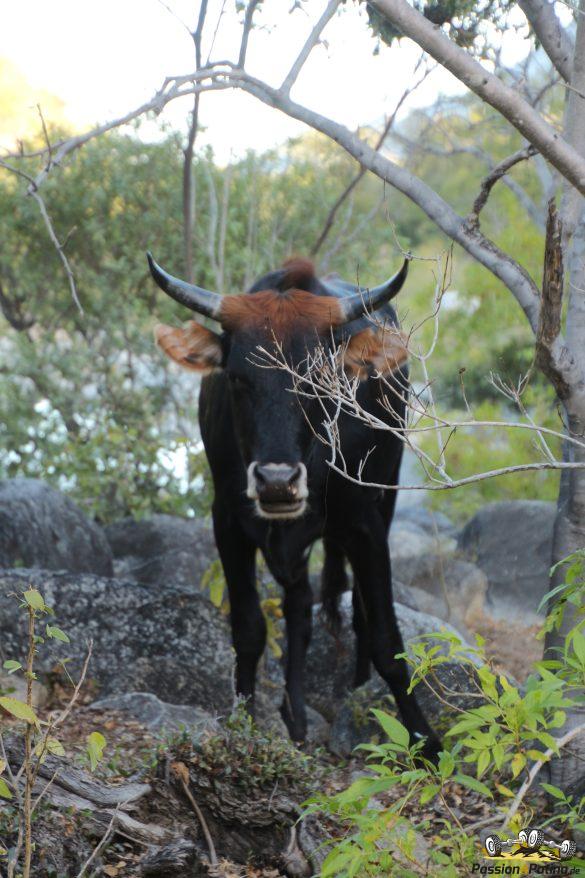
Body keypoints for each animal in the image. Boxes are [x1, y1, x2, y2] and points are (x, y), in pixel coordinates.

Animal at [148, 252, 440, 759]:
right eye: (237, 378)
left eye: (316, 379)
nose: (277, 482)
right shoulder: (229, 522)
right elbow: (249, 630)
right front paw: (245, 722)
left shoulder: (365, 526)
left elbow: (387, 637)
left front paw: (424, 739)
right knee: (300, 608)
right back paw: (297, 716)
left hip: (385, 492)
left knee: (356, 612)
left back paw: (354, 688)